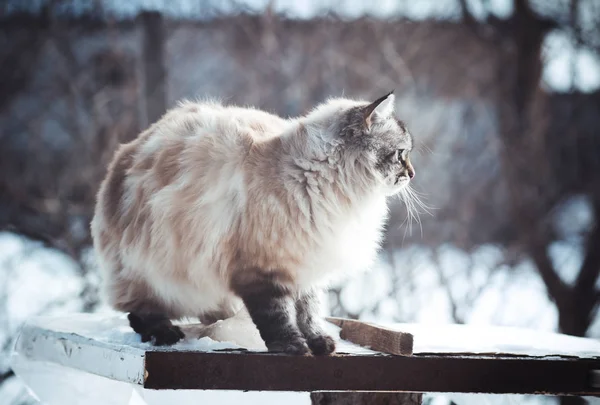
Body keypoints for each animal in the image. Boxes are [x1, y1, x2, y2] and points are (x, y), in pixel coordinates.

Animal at [91, 90, 414, 354]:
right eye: (401, 154)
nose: (411, 174)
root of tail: (128, 150)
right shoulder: (262, 270)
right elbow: (277, 316)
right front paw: (292, 346)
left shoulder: (307, 265)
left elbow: (309, 312)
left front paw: (319, 342)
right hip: (148, 272)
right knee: (138, 310)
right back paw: (165, 332)